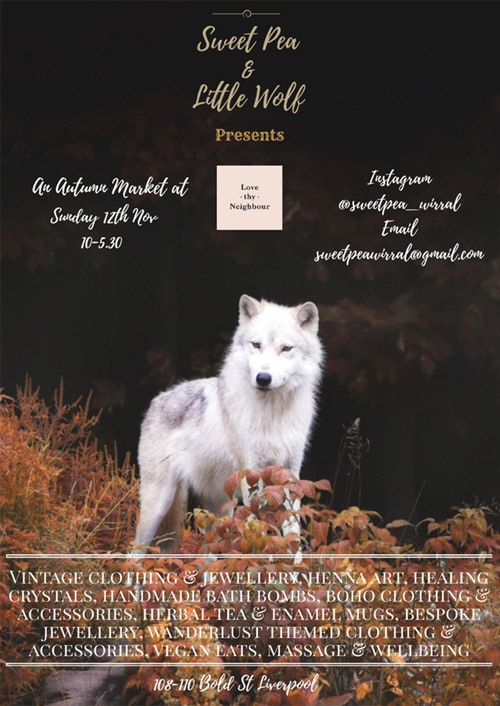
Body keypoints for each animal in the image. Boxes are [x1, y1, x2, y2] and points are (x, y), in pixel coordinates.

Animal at [134, 294, 323, 551]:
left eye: (285, 348)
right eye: (256, 345)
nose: (263, 378)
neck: (272, 414)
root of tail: (158, 398)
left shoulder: (290, 475)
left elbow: (292, 532)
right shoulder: (251, 473)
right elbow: (258, 528)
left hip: (220, 512)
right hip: (158, 505)